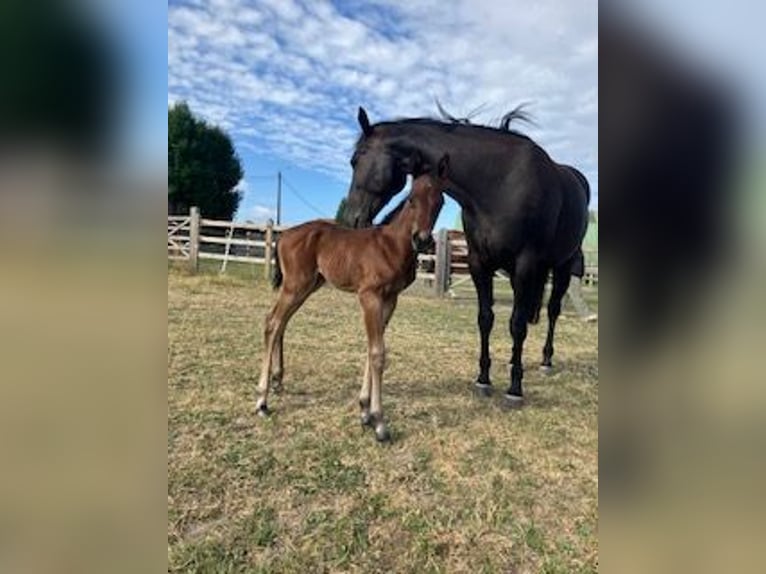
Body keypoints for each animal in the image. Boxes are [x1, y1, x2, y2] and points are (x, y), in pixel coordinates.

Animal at [256, 155, 449, 442]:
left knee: (281, 323)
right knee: (272, 322)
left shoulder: (390, 299)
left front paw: (364, 411)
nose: (422, 239)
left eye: (440, 202)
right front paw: (379, 422)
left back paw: (278, 382)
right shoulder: (369, 296)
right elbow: (378, 352)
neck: (392, 245)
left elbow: (372, 347)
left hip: (307, 286)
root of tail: (283, 235)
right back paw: (262, 401)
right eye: (412, 199)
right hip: (295, 285)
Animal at [341, 107, 590, 406]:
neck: (500, 182)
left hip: (563, 265)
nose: (352, 220)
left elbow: (517, 324)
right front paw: (483, 379)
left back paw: (546, 361)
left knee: (552, 311)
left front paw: (514, 388)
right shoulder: (479, 263)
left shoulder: (525, 264)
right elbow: (485, 319)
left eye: (355, 160)